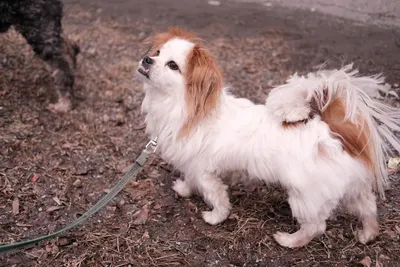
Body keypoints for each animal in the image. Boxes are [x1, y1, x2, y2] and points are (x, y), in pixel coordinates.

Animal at [135, 28, 400, 248]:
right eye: (157, 53)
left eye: (172, 65)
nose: (147, 59)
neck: (181, 106)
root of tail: (330, 131)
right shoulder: (191, 164)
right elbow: (190, 180)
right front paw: (184, 190)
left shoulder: (205, 172)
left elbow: (217, 197)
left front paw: (214, 217)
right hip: (351, 188)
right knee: (368, 207)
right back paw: (367, 234)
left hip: (305, 196)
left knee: (316, 226)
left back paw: (289, 241)